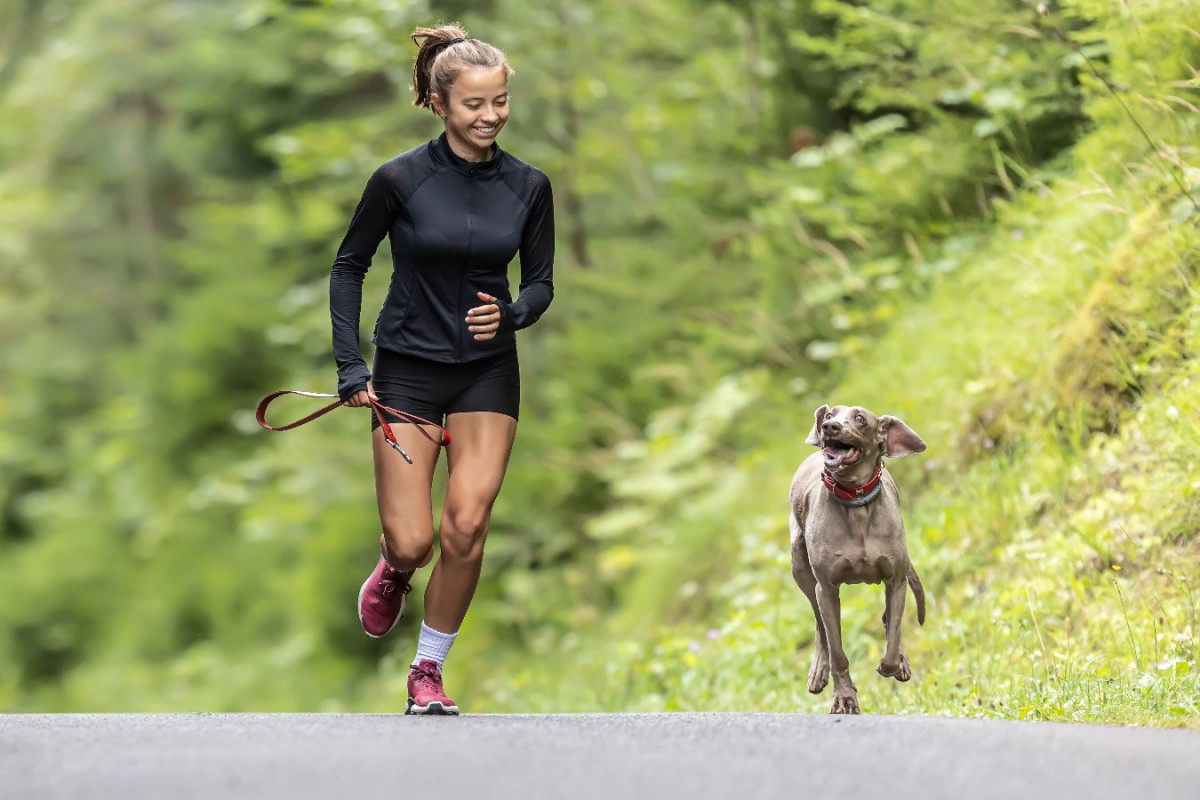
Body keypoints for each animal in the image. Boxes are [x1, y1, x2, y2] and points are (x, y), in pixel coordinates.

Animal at [787, 402, 926, 714]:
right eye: (829, 415)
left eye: (860, 418)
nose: (829, 427)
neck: (856, 501)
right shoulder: (826, 589)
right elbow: (837, 650)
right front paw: (844, 698)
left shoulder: (896, 580)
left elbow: (894, 633)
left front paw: (892, 664)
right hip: (800, 566)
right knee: (819, 625)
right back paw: (819, 670)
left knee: (888, 619)